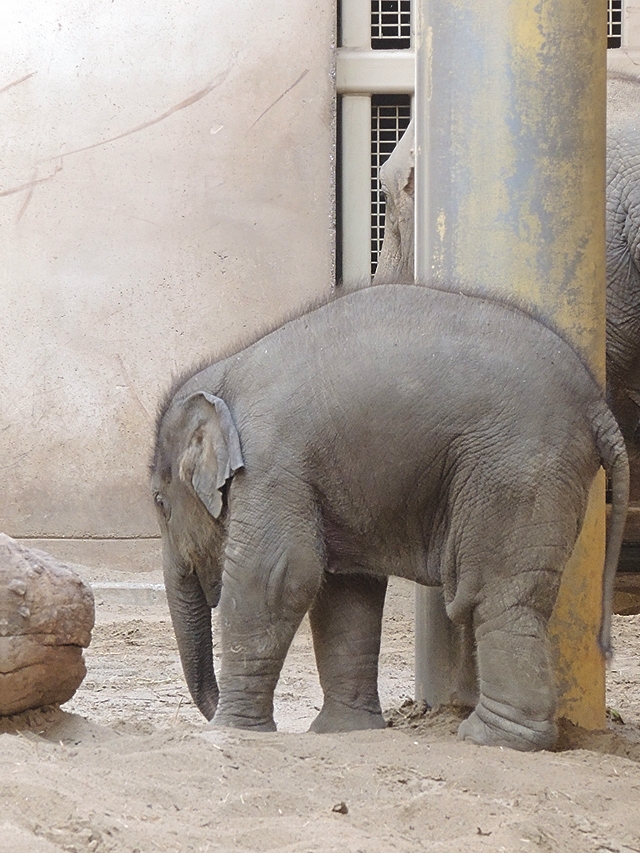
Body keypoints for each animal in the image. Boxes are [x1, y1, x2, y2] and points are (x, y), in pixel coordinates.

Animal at [149, 282, 624, 748]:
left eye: (159, 502)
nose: (208, 711)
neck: (223, 372)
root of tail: (597, 406)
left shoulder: (271, 461)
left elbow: (275, 575)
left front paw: (229, 732)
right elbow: (344, 589)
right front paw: (341, 732)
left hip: (515, 468)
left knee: (495, 593)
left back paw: (490, 737)